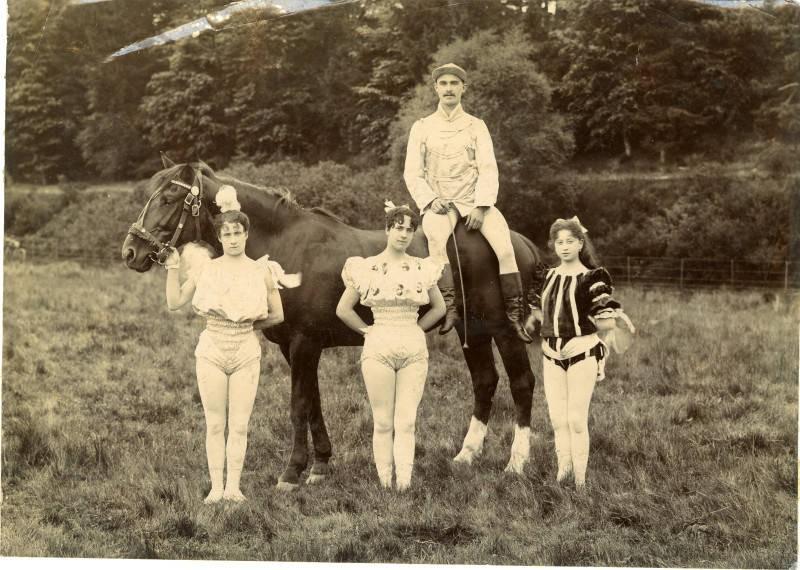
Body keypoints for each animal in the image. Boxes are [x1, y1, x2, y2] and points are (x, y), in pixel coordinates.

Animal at [122, 160, 544, 488]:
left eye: (168, 199)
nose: (131, 251)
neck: (287, 246)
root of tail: (519, 242)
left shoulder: (304, 343)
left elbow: (298, 404)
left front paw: (292, 472)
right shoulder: (294, 348)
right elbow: (313, 403)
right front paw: (320, 464)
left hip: (502, 330)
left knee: (522, 383)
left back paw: (516, 462)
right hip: (472, 330)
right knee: (484, 381)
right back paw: (466, 456)